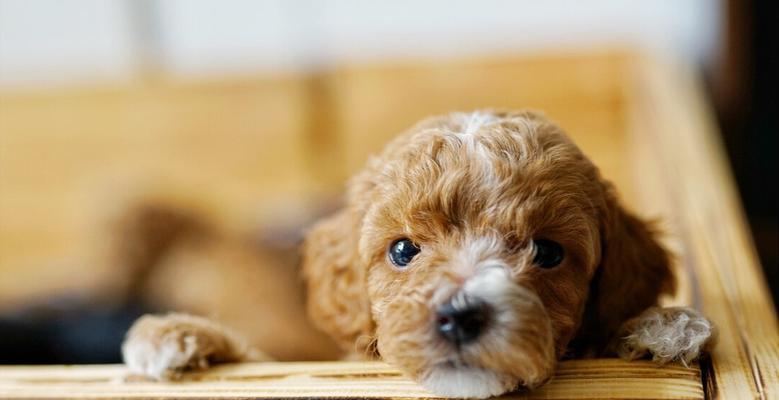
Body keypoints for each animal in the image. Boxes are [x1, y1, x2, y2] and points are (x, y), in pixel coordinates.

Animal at [123, 109, 720, 396]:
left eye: (549, 253)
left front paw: (659, 325)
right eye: (404, 249)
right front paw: (179, 335)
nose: (461, 315)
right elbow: (263, 361)